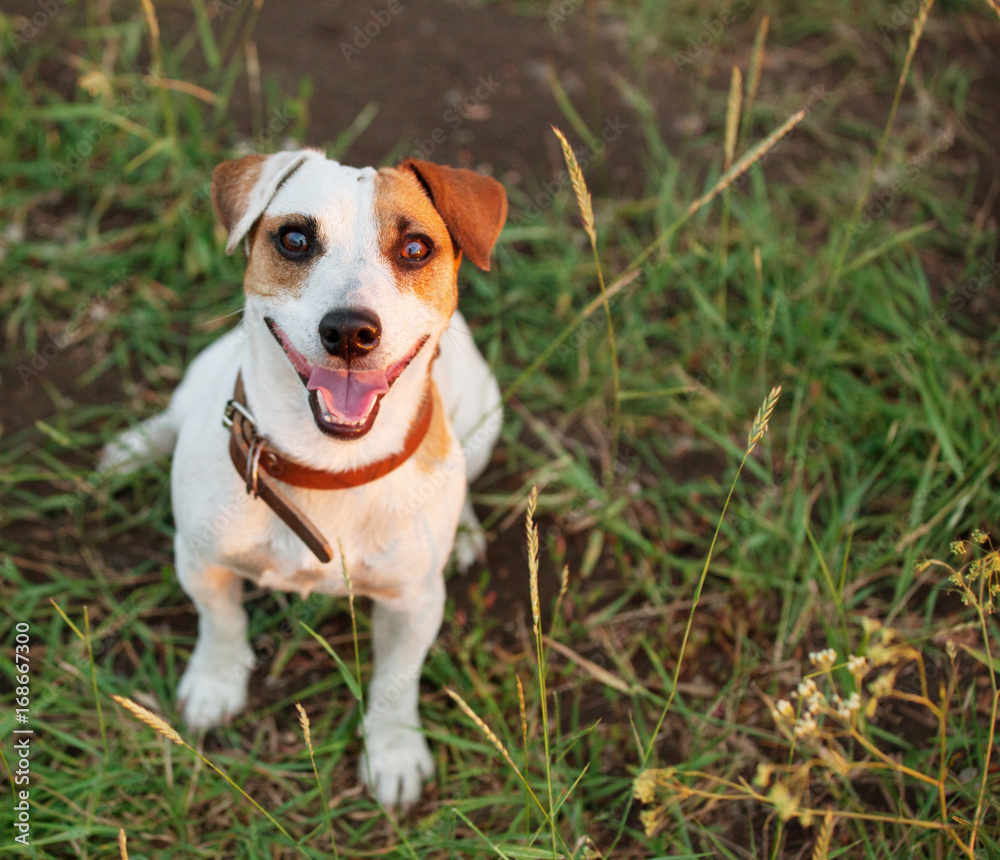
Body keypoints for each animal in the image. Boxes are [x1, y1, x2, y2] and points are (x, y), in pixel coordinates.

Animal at [99, 149, 508, 808]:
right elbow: (222, 623)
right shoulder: (200, 559)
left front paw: (393, 753)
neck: (328, 467)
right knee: (172, 415)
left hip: (485, 416)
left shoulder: (415, 604)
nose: (349, 331)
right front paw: (216, 683)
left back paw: (466, 531)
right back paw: (136, 447)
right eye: (294, 239)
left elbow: (396, 682)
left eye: (415, 248)